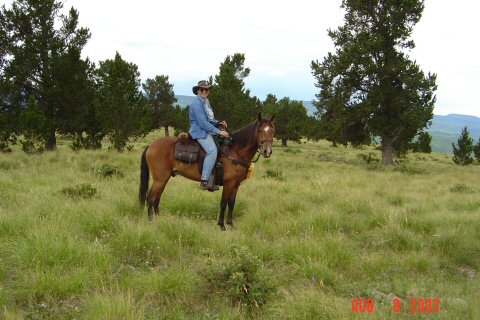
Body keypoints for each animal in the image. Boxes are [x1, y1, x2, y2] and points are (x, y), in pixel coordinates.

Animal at [139, 112, 274, 230]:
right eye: (260, 130)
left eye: (272, 131)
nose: (267, 151)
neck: (234, 151)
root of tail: (151, 146)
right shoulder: (228, 184)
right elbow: (223, 203)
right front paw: (222, 225)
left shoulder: (236, 185)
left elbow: (232, 203)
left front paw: (231, 224)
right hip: (160, 179)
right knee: (150, 198)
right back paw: (151, 222)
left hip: (164, 178)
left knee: (157, 199)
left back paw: (159, 220)